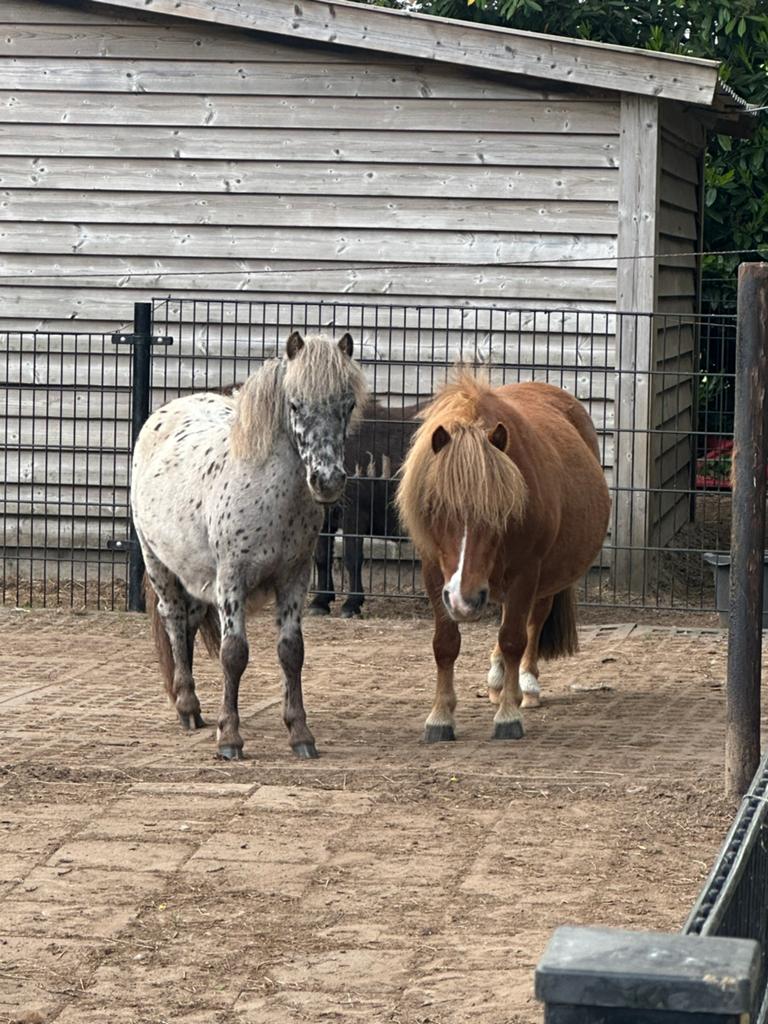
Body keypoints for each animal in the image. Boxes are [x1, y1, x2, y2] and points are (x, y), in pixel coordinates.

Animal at [131, 331, 367, 760]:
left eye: (348, 404)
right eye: (295, 404)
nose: (327, 481)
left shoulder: (294, 579)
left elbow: (292, 652)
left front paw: (300, 733)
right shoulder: (232, 581)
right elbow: (234, 654)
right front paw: (230, 738)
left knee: (189, 623)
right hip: (157, 563)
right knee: (174, 619)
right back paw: (187, 706)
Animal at [308, 399, 420, 618]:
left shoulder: (354, 516)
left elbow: (352, 559)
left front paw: (352, 603)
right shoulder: (324, 518)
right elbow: (322, 557)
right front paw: (320, 601)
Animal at [395, 373, 610, 743]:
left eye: (500, 512)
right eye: (436, 507)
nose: (465, 600)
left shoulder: (526, 572)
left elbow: (513, 639)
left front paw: (508, 716)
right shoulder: (435, 573)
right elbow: (445, 644)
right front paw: (440, 718)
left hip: (543, 577)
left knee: (532, 622)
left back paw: (527, 684)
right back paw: (497, 680)